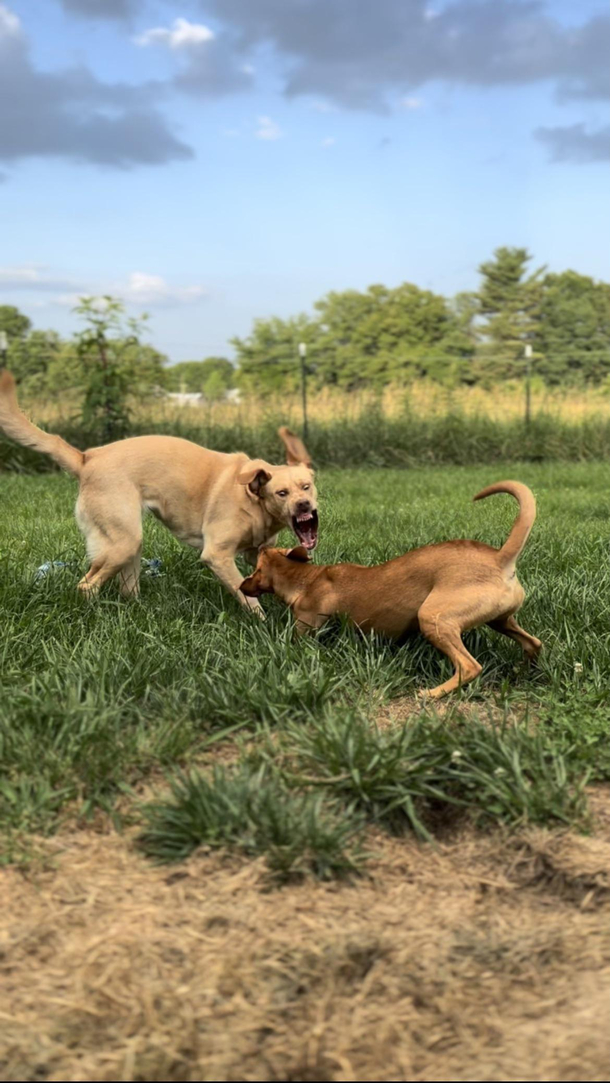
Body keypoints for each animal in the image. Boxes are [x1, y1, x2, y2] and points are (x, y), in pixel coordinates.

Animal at [1, 370, 320, 610]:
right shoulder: (217, 555)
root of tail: (86, 458)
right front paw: (262, 621)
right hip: (123, 542)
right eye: (282, 493)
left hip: (127, 546)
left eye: (307, 487)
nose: (304, 506)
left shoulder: (256, 554)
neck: (252, 498)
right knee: (87, 585)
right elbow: (246, 595)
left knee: (121, 588)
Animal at [241, 480, 541, 697]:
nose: (242, 586)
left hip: (433, 618)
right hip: (500, 620)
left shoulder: (304, 627)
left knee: (469, 667)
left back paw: (432, 694)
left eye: (255, 570)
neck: (307, 577)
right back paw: (523, 672)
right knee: (533, 643)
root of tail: (500, 558)